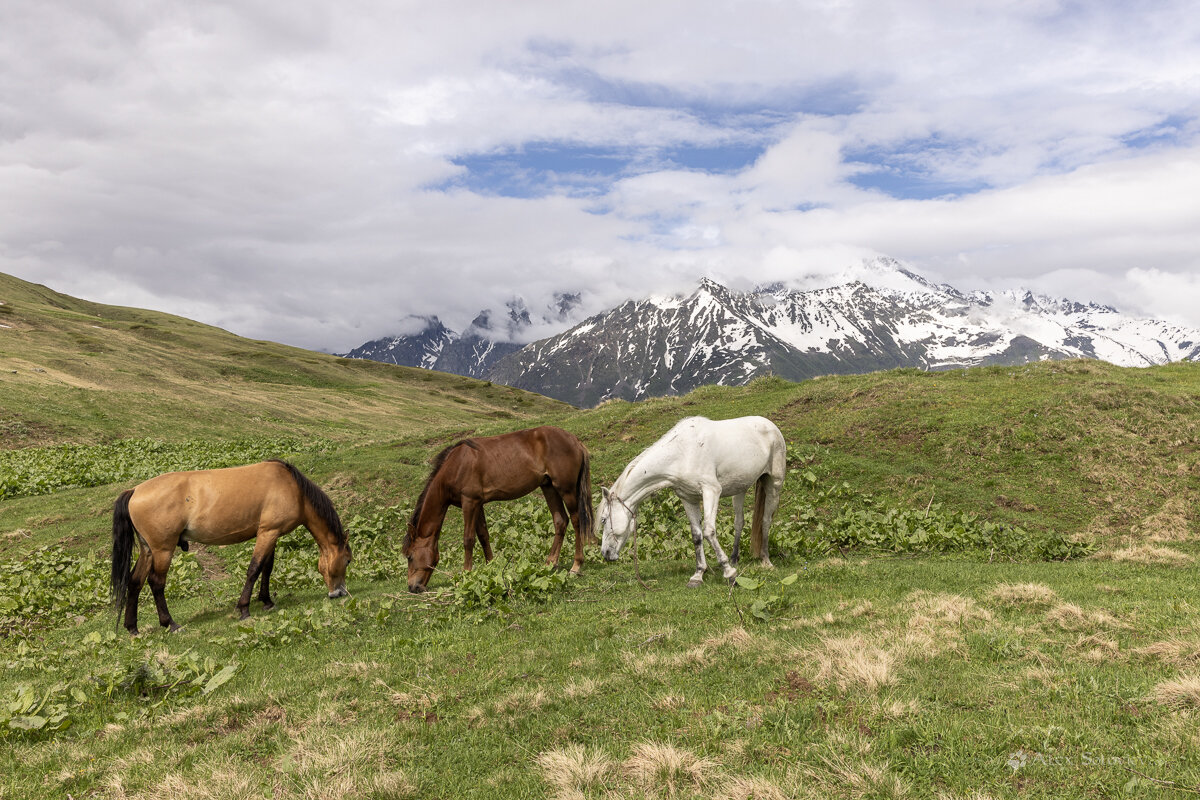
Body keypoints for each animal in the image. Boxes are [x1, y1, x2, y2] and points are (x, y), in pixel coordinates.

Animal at [111, 460, 350, 633]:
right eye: (348, 561)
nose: (339, 593)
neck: (292, 488)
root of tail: (134, 491)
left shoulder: (271, 534)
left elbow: (267, 568)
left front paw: (267, 601)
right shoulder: (268, 533)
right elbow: (254, 569)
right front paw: (244, 609)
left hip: (148, 551)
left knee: (135, 582)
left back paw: (132, 627)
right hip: (163, 550)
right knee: (156, 582)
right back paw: (170, 623)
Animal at [403, 429, 595, 592]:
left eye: (410, 557)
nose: (413, 587)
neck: (456, 465)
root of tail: (575, 440)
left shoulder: (469, 502)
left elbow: (468, 539)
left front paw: (466, 575)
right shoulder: (478, 504)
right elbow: (483, 536)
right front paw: (491, 566)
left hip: (566, 490)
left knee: (576, 520)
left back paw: (576, 566)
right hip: (549, 487)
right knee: (560, 521)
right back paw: (550, 563)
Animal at [600, 417, 787, 585]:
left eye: (603, 519)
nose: (605, 553)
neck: (682, 453)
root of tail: (770, 425)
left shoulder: (711, 491)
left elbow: (709, 531)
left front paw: (729, 572)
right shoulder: (688, 498)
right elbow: (697, 536)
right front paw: (698, 574)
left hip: (774, 484)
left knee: (766, 520)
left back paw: (765, 560)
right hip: (739, 489)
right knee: (739, 522)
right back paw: (735, 558)